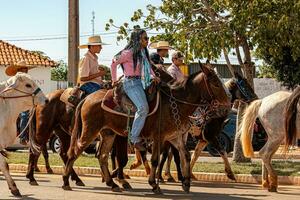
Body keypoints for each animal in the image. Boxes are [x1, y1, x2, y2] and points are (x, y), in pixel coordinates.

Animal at [62, 64, 231, 194]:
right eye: (216, 84)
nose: (228, 104)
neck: (175, 103)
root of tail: (86, 99)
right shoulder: (158, 137)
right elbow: (155, 160)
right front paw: (154, 184)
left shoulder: (174, 137)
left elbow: (186, 156)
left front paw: (186, 182)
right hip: (89, 132)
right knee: (74, 152)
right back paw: (67, 181)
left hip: (108, 133)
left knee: (102, 156)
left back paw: (112, 183)